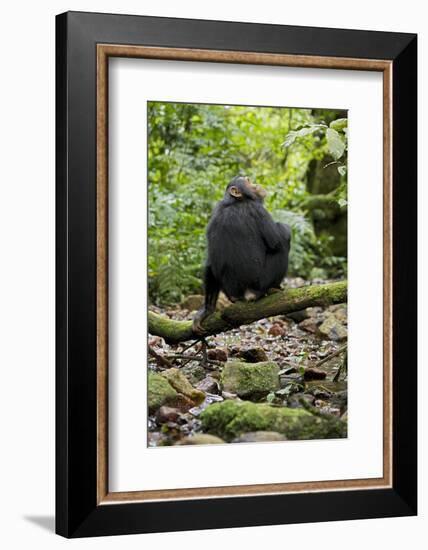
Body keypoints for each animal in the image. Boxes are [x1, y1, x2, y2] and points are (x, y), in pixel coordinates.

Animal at [193, 176, 290, 336]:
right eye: (247, 181)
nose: (254, 183)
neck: (235, 202)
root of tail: (245, 294)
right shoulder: (257, 210)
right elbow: (278, 241)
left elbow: (209, 262)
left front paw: (206, 310)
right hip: (261, 282)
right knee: (282, 247)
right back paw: (273, 289)